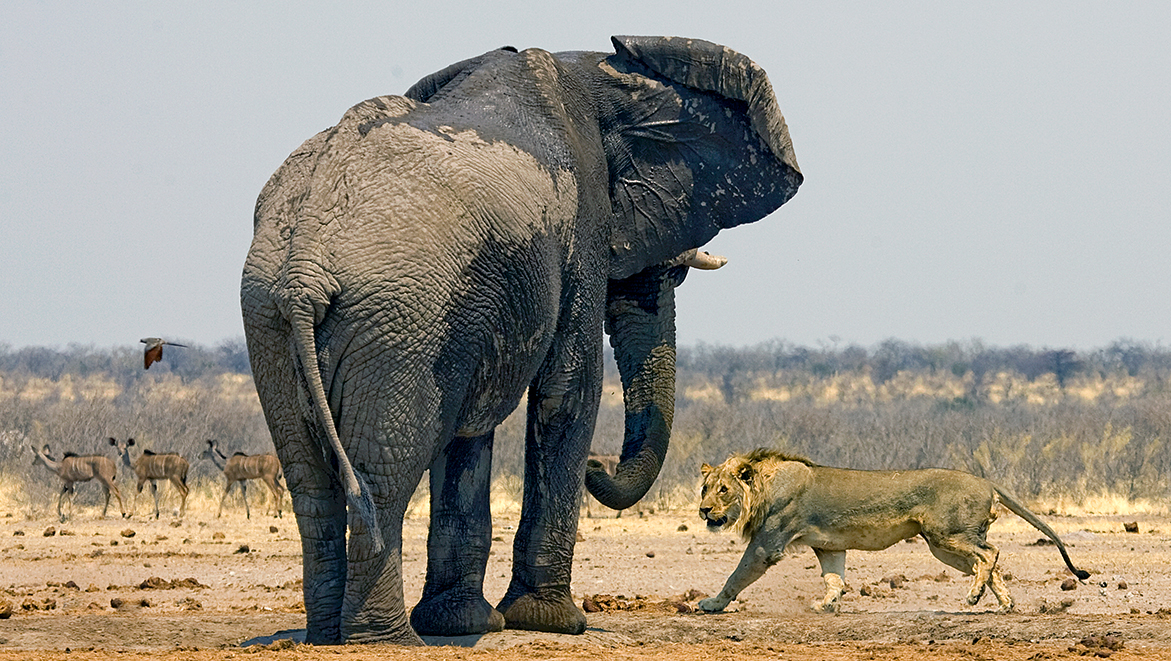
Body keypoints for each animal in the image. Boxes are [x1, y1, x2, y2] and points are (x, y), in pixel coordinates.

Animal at [242, 36, 800, 646]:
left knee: (311, 482)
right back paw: (386, 640)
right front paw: (554, 622)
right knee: (382, 475)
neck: (600, 71)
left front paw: (464, 622)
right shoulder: (582, 222)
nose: (599, 468)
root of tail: (304, 263)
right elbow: (570, 389)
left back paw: (328, 634)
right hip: (395, 319)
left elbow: (471, 427)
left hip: (276, 316)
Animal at [693, 450, 1086, 614]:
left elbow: (736, 575)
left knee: (989, 555)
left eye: (723, 490)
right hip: (945, 545)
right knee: (989, 563)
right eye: (704, 488)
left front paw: (711, 604)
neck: (764, 487)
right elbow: (834, 578)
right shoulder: (828, 545)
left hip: (947, 535)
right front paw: (826, 606)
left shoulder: (767, 543)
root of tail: (987, 481)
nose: (704, 510)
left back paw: (975, 597)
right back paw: (1005, 604)